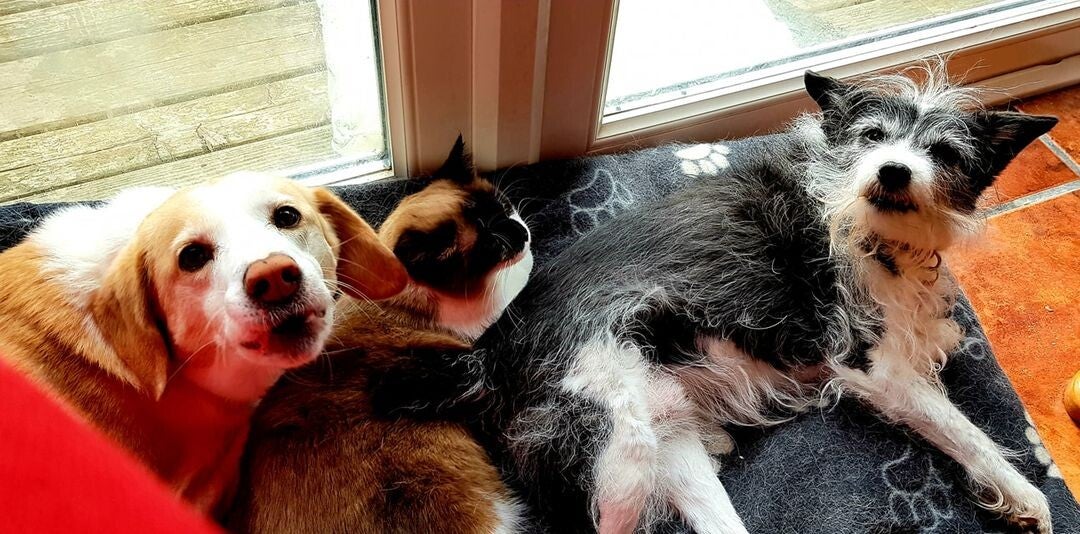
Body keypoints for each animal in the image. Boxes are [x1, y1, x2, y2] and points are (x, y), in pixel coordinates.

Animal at [370, 67, 1059, 533]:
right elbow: (964, 430)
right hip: (616, 451)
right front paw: (1026, 496)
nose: (893, 171)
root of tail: (485, 355)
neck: (867, 226)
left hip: (665, 439)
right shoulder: (873, 365)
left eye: (942, 152)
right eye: (871, 136)